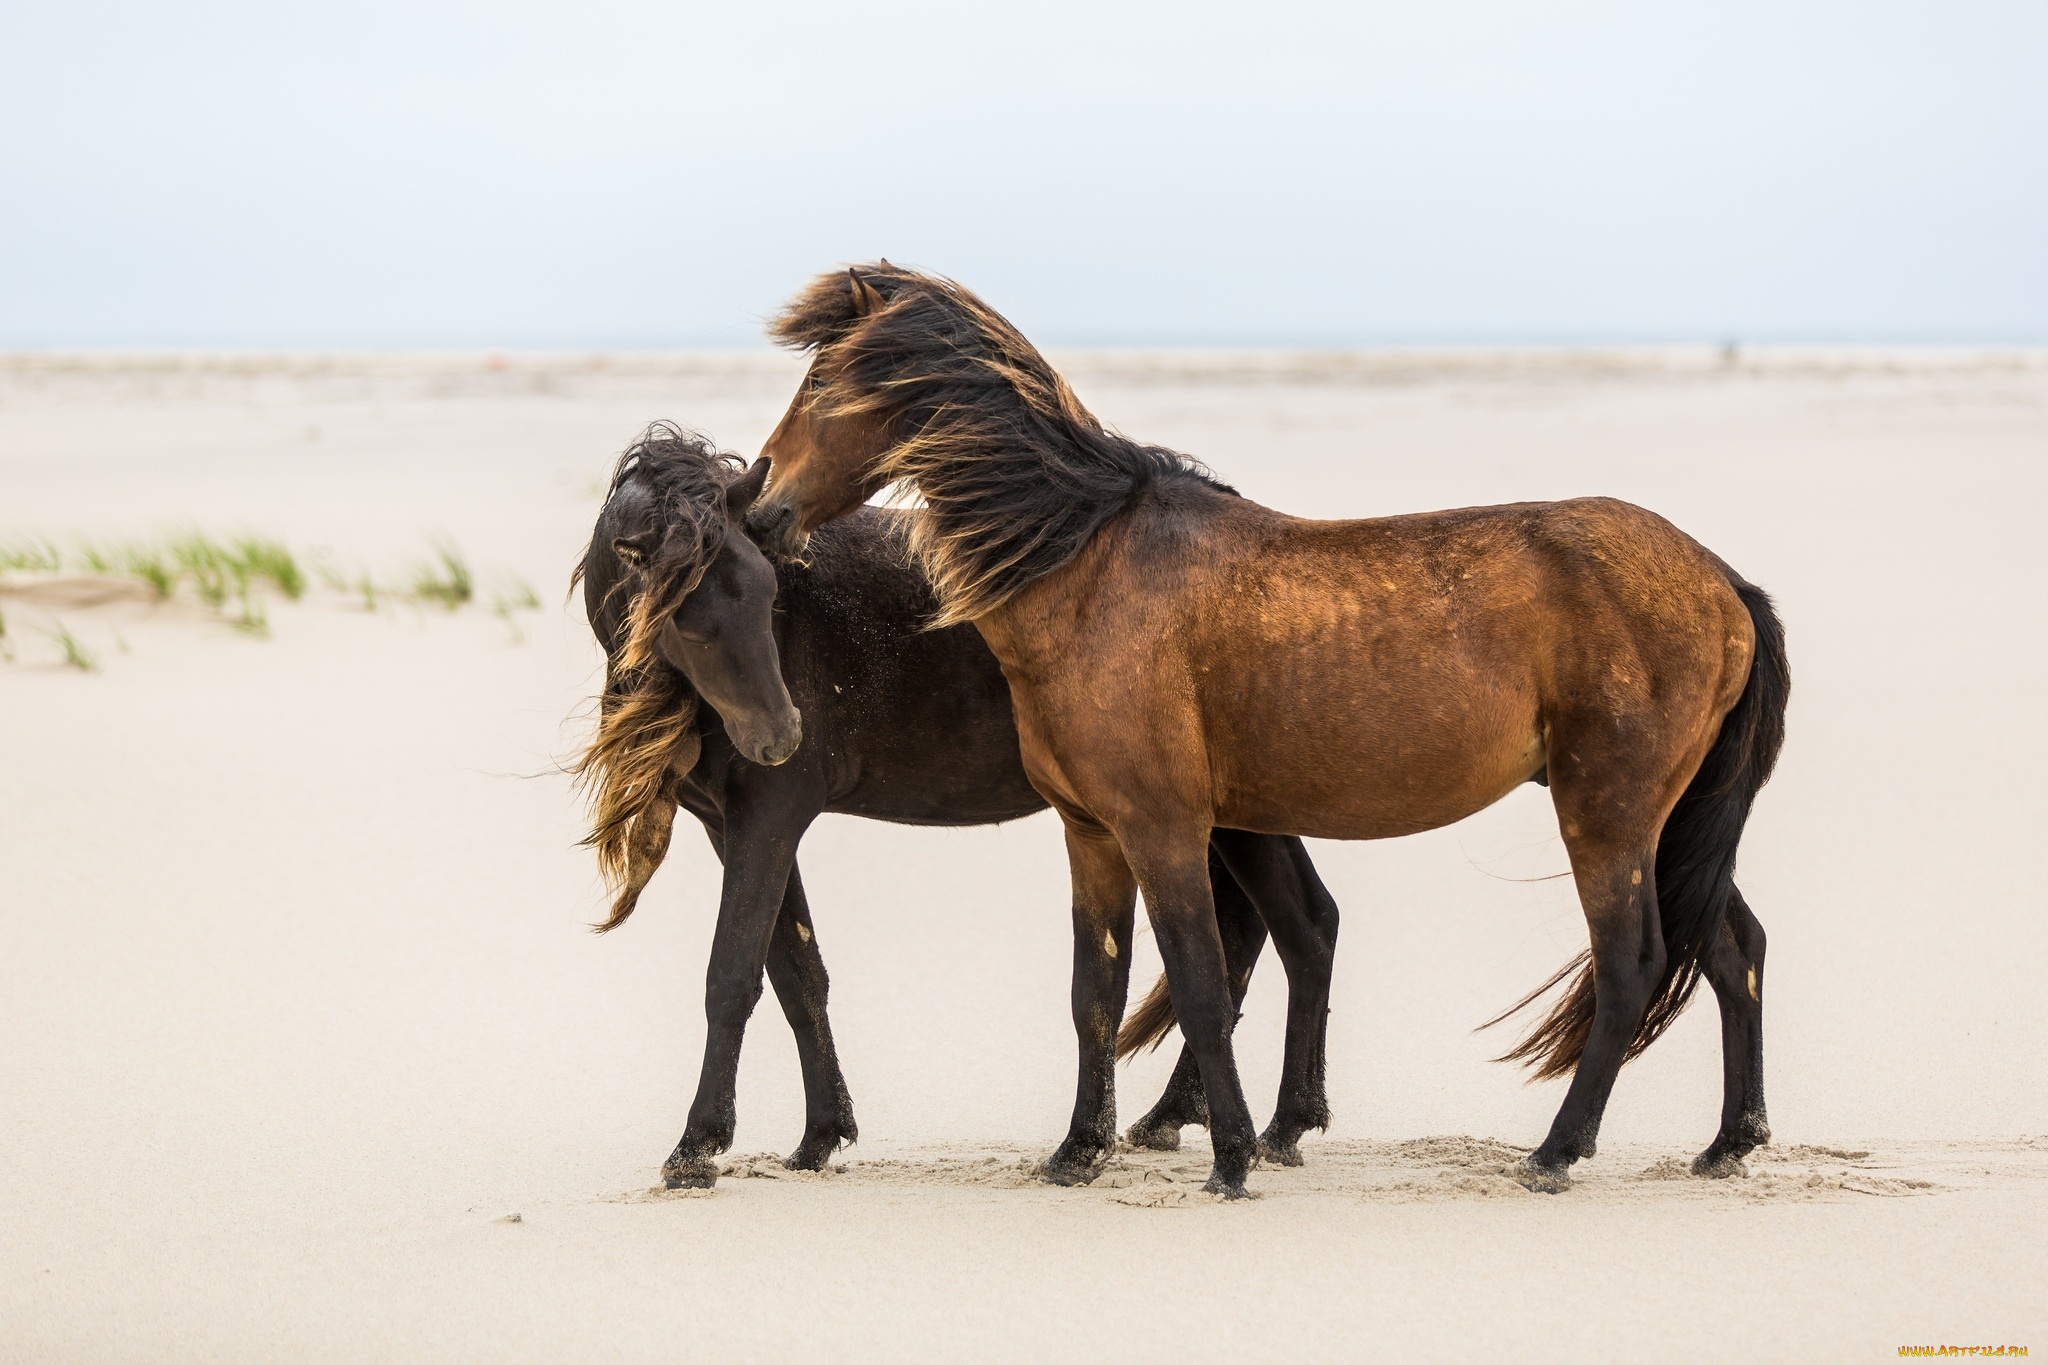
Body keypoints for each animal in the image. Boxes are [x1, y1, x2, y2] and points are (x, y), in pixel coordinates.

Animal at [577, 427, 1343, 1186]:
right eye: (687, 618)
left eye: (768, 594)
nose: (780, 736)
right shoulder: (731, 825)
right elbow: (797, 974)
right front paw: (820, 1135)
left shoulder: (768, 818)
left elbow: (732, 977)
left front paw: (696, 1148)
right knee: (1288, 925)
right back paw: (1212, 1119)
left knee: (1292, 927)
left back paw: (1265, 1125)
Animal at [745, 263, 1785, 1195]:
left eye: (820, 384)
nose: (757, 505)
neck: (1088, 566)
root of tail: (1723, 580)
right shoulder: (1091, 834)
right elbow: (1095, 995)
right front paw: (1077, 1152)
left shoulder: (1162, 829)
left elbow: (1201, 984)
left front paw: (1233, 1158)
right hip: (1667, 824)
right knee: (1732, 949)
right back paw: (1728, 1143)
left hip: (1606, 815)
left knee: (1634, 964)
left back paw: (1556, 1153)